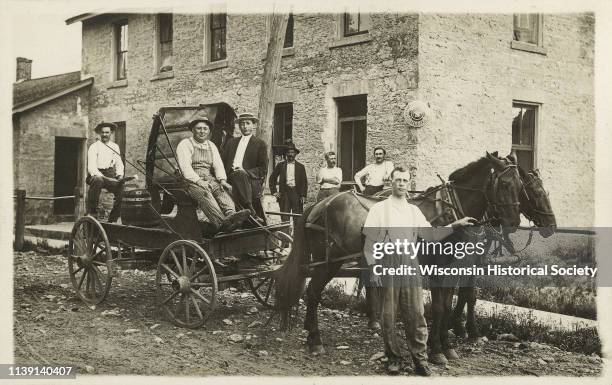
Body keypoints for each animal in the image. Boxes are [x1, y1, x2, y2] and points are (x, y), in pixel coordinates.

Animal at [276, 152, 520, 356]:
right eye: (504, 183)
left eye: (520, 184)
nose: (513, 223)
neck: (448, 212)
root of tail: (320, 205)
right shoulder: (437, 268)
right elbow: (439, 307)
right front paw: (436, 349)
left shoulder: (450, 268)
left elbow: (447, 305)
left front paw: (445, 346)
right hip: (327, 262)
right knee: (313, 292)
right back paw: (315, 340)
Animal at [448, 166, 556, 340]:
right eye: (536, 194)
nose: (552, 226)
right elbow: (465, 293)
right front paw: (460, 326)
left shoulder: (474, 262)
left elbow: (468, 294)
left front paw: (464, 327)